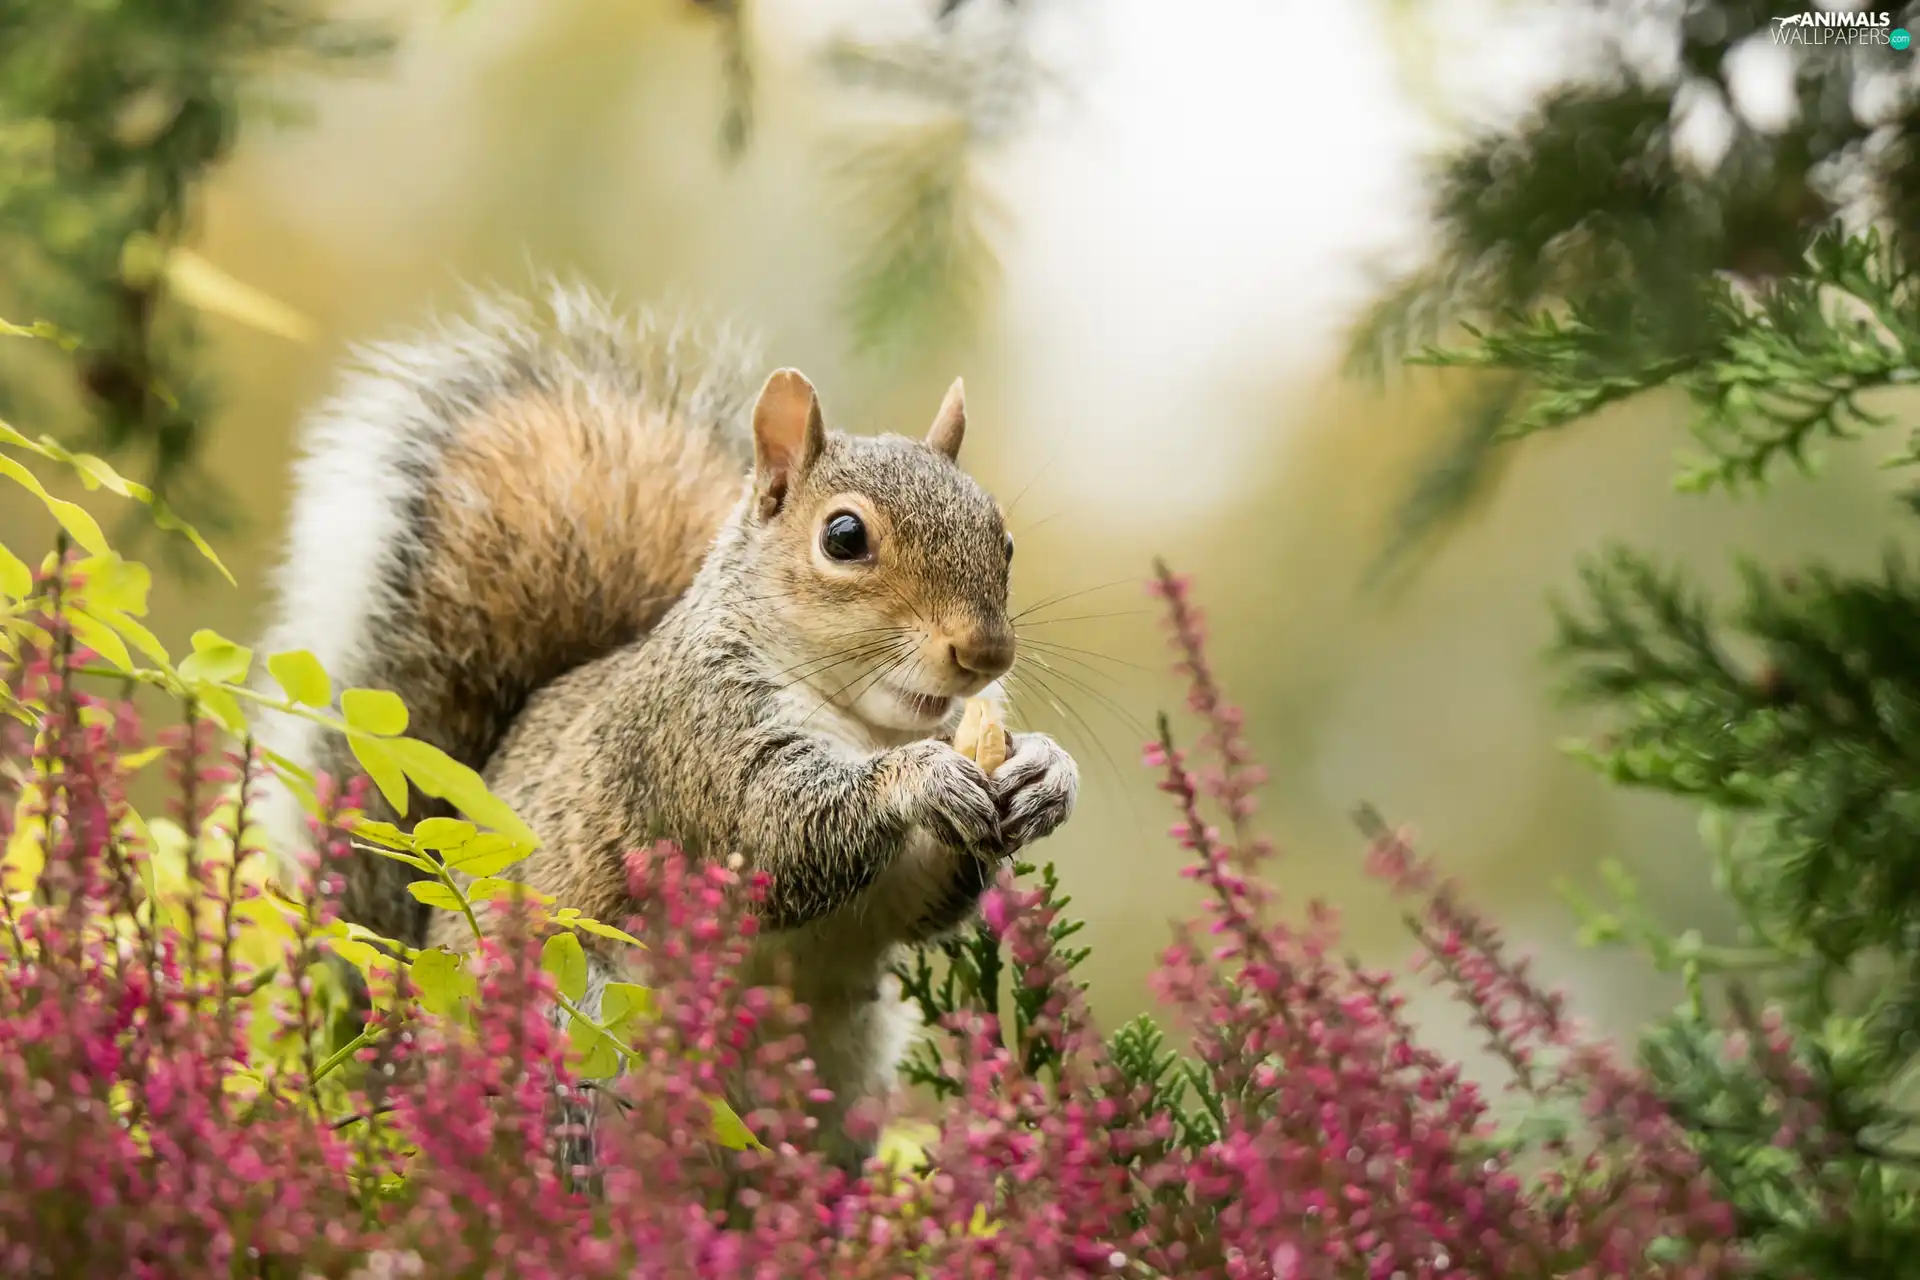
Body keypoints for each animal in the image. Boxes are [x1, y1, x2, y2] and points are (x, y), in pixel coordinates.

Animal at [259, 285, 1082, 1166]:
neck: (867, 724)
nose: (985, 650)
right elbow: (777, 836)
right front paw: (919, 779)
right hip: (570, 1030)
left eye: (1002, 538)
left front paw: (1045, 772)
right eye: (844, 536)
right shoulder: (692, 739)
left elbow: (924, 897)